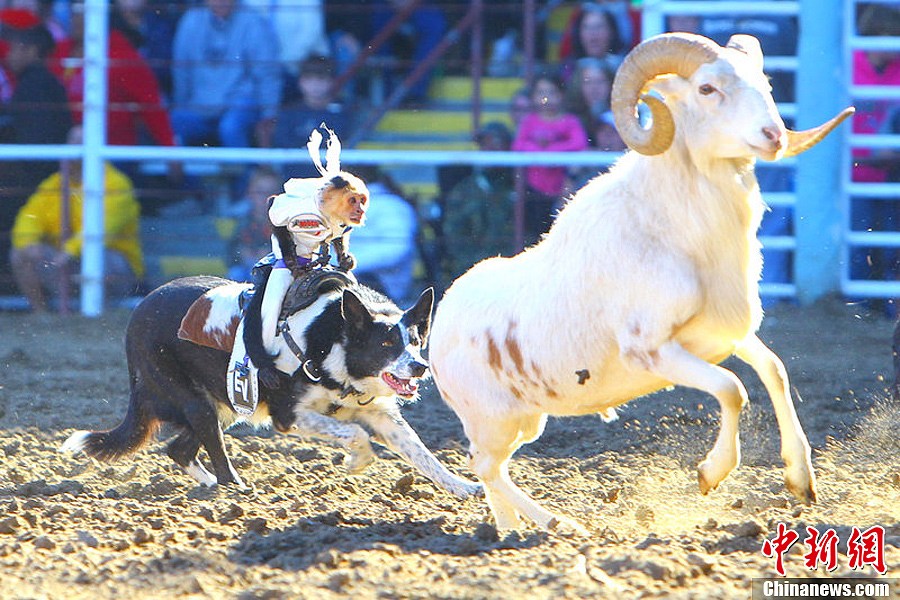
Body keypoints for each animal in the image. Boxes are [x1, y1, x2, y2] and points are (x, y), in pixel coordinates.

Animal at [60, 276, 482, 496]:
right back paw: (234, 488)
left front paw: (462, 486)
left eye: (416, 340)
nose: (420, 367)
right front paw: (357, 461)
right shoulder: (289, 414)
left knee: (179, 449)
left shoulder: (382, 415)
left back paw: (210, 485)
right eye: (386, 344)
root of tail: (138, 314)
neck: (335, 342)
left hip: (226, 404)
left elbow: (422, 454)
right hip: (196, 401)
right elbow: (353, 433)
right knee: (208, 448)